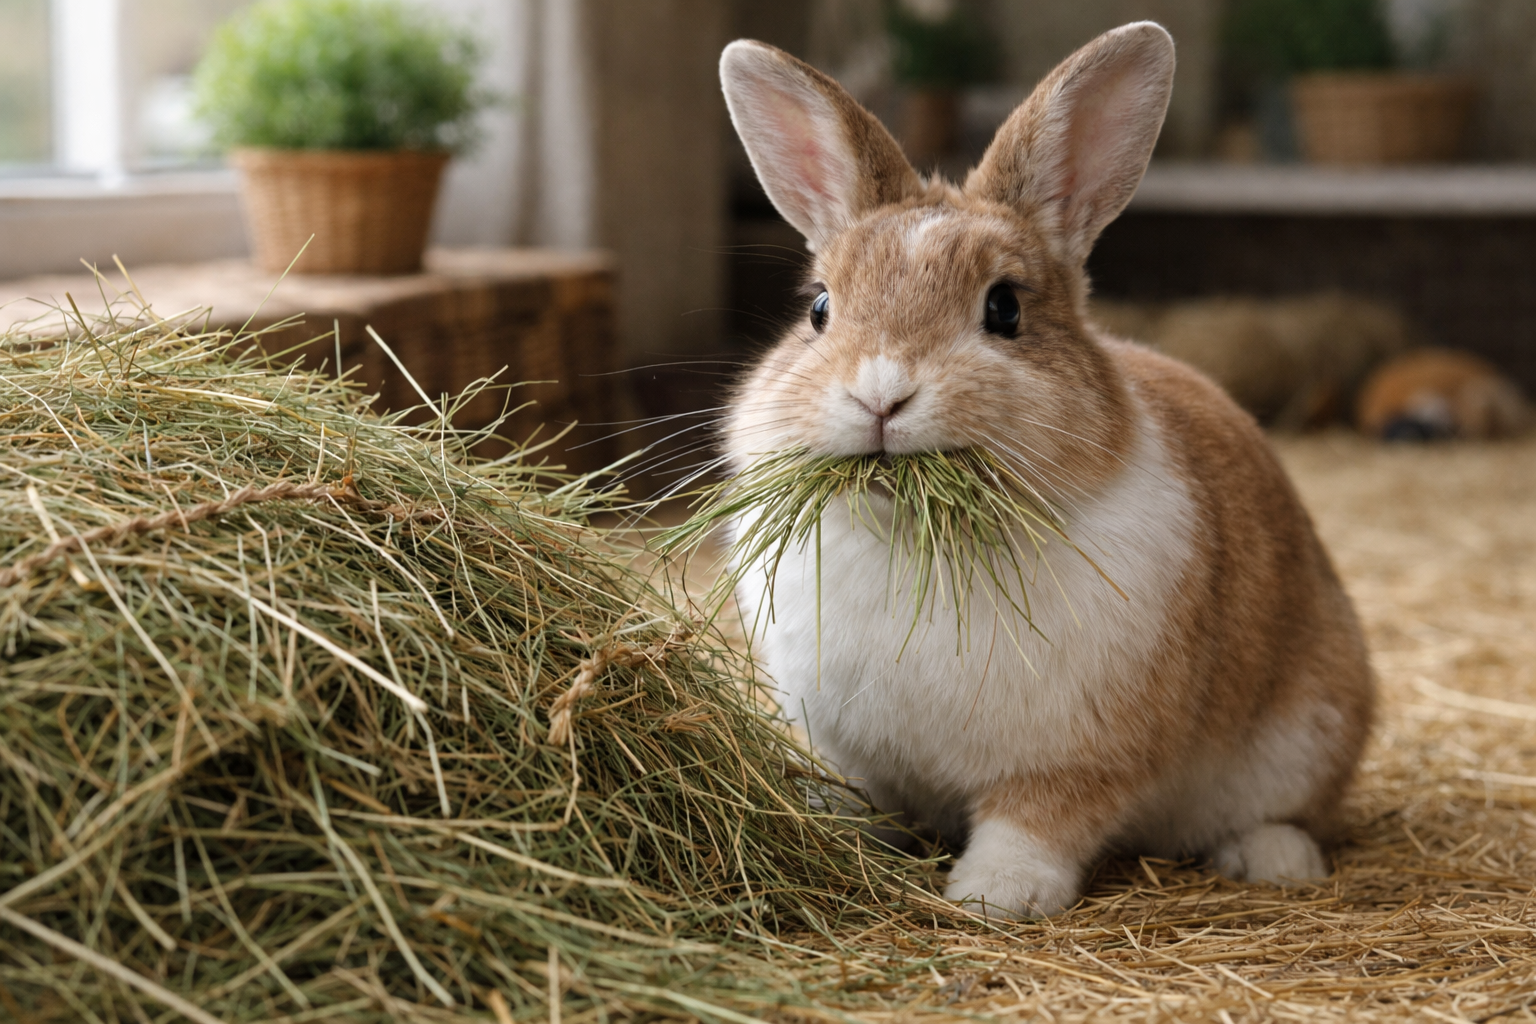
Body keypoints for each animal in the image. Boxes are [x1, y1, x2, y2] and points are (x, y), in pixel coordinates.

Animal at [717, 22, 1374, 919]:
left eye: (1005, 310)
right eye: (820, 309)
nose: (881, 393)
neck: (915, 538)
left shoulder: (1078, 759)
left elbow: (1036, 824)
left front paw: (993, 897)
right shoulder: (847, 748)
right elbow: (857, 798)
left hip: (1308, 730)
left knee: (1288, 812)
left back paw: (1273, 862)